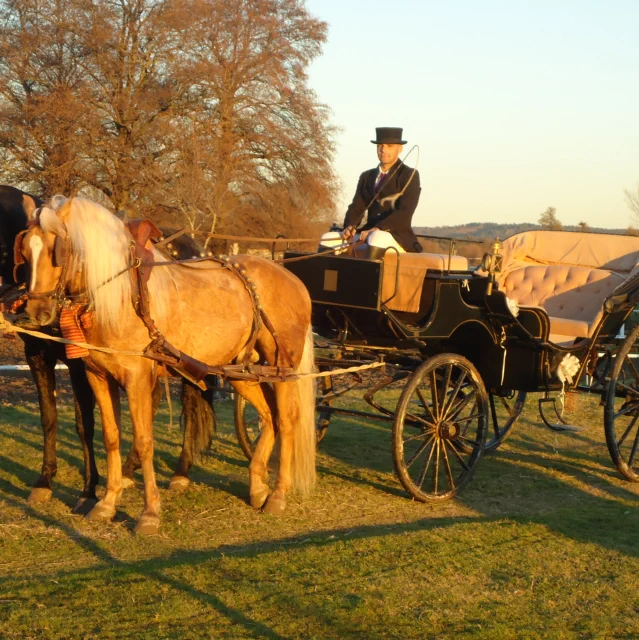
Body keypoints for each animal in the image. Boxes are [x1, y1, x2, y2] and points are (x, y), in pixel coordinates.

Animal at [0, 186, 214, 511]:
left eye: (58, 252)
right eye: (22, 252)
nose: (36, 313)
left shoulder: (79, 361)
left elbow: (84, 424)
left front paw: (88, 490)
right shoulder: (37, 355)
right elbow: (49, 418)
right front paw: (44, 482)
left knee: (190, 404)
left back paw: (180, 472)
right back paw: (129, 469)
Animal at [20, 196, 316, 534]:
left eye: (58, 250)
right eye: (25, 250)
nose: (37, 311)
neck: (122, 298)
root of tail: (291, 278)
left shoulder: (136, 378)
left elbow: (144, 440)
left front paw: (149, 512)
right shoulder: (98, 375)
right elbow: (111, 437)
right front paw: (106, 504)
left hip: (283, 367)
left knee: (287, 420)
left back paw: (278, 495)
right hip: (240, 370)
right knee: (269, 416)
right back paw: (257, 487)